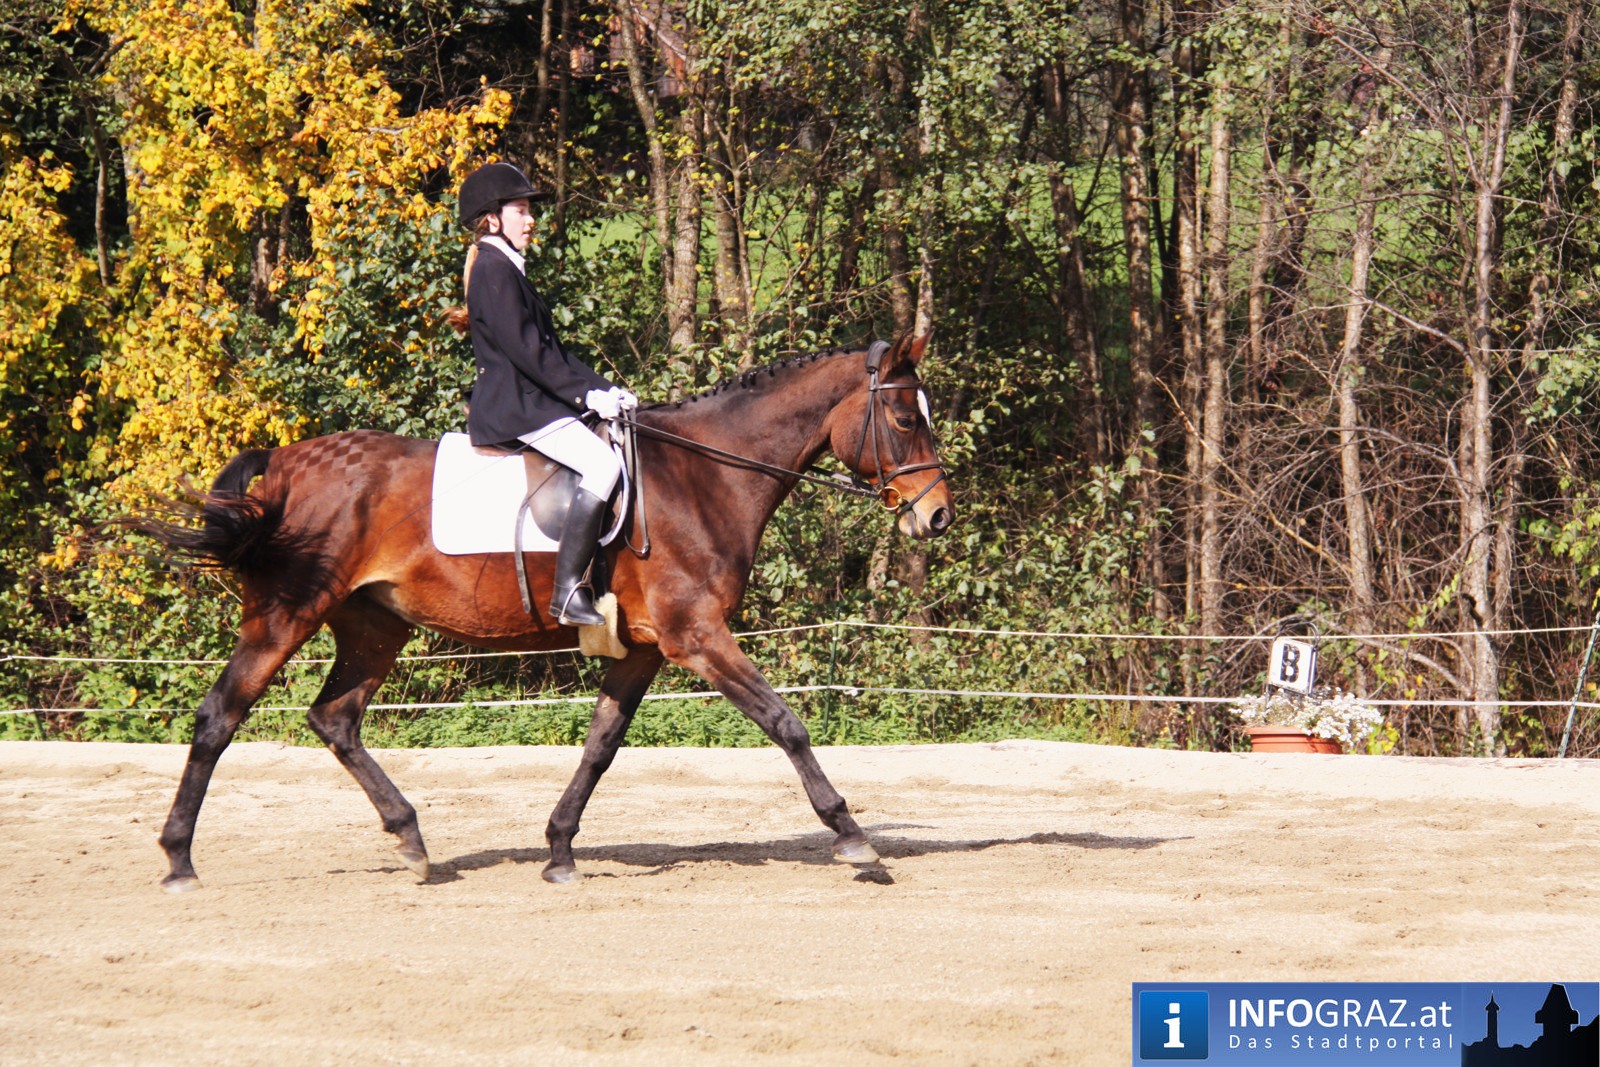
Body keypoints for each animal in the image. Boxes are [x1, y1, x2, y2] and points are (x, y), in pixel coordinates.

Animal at [139, 334, 955, 892]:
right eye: (902, 419)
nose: (938, 516)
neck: (708, 476)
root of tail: (283, 461)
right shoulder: (696, 636)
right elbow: (786, 723)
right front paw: (854, 837)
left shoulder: (644, 648)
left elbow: (600, 746)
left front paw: (560, 849)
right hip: (286, 614)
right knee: (220, 716)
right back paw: (179, 859)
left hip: (375, 625)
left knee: (334, 718)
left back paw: (412, 841)